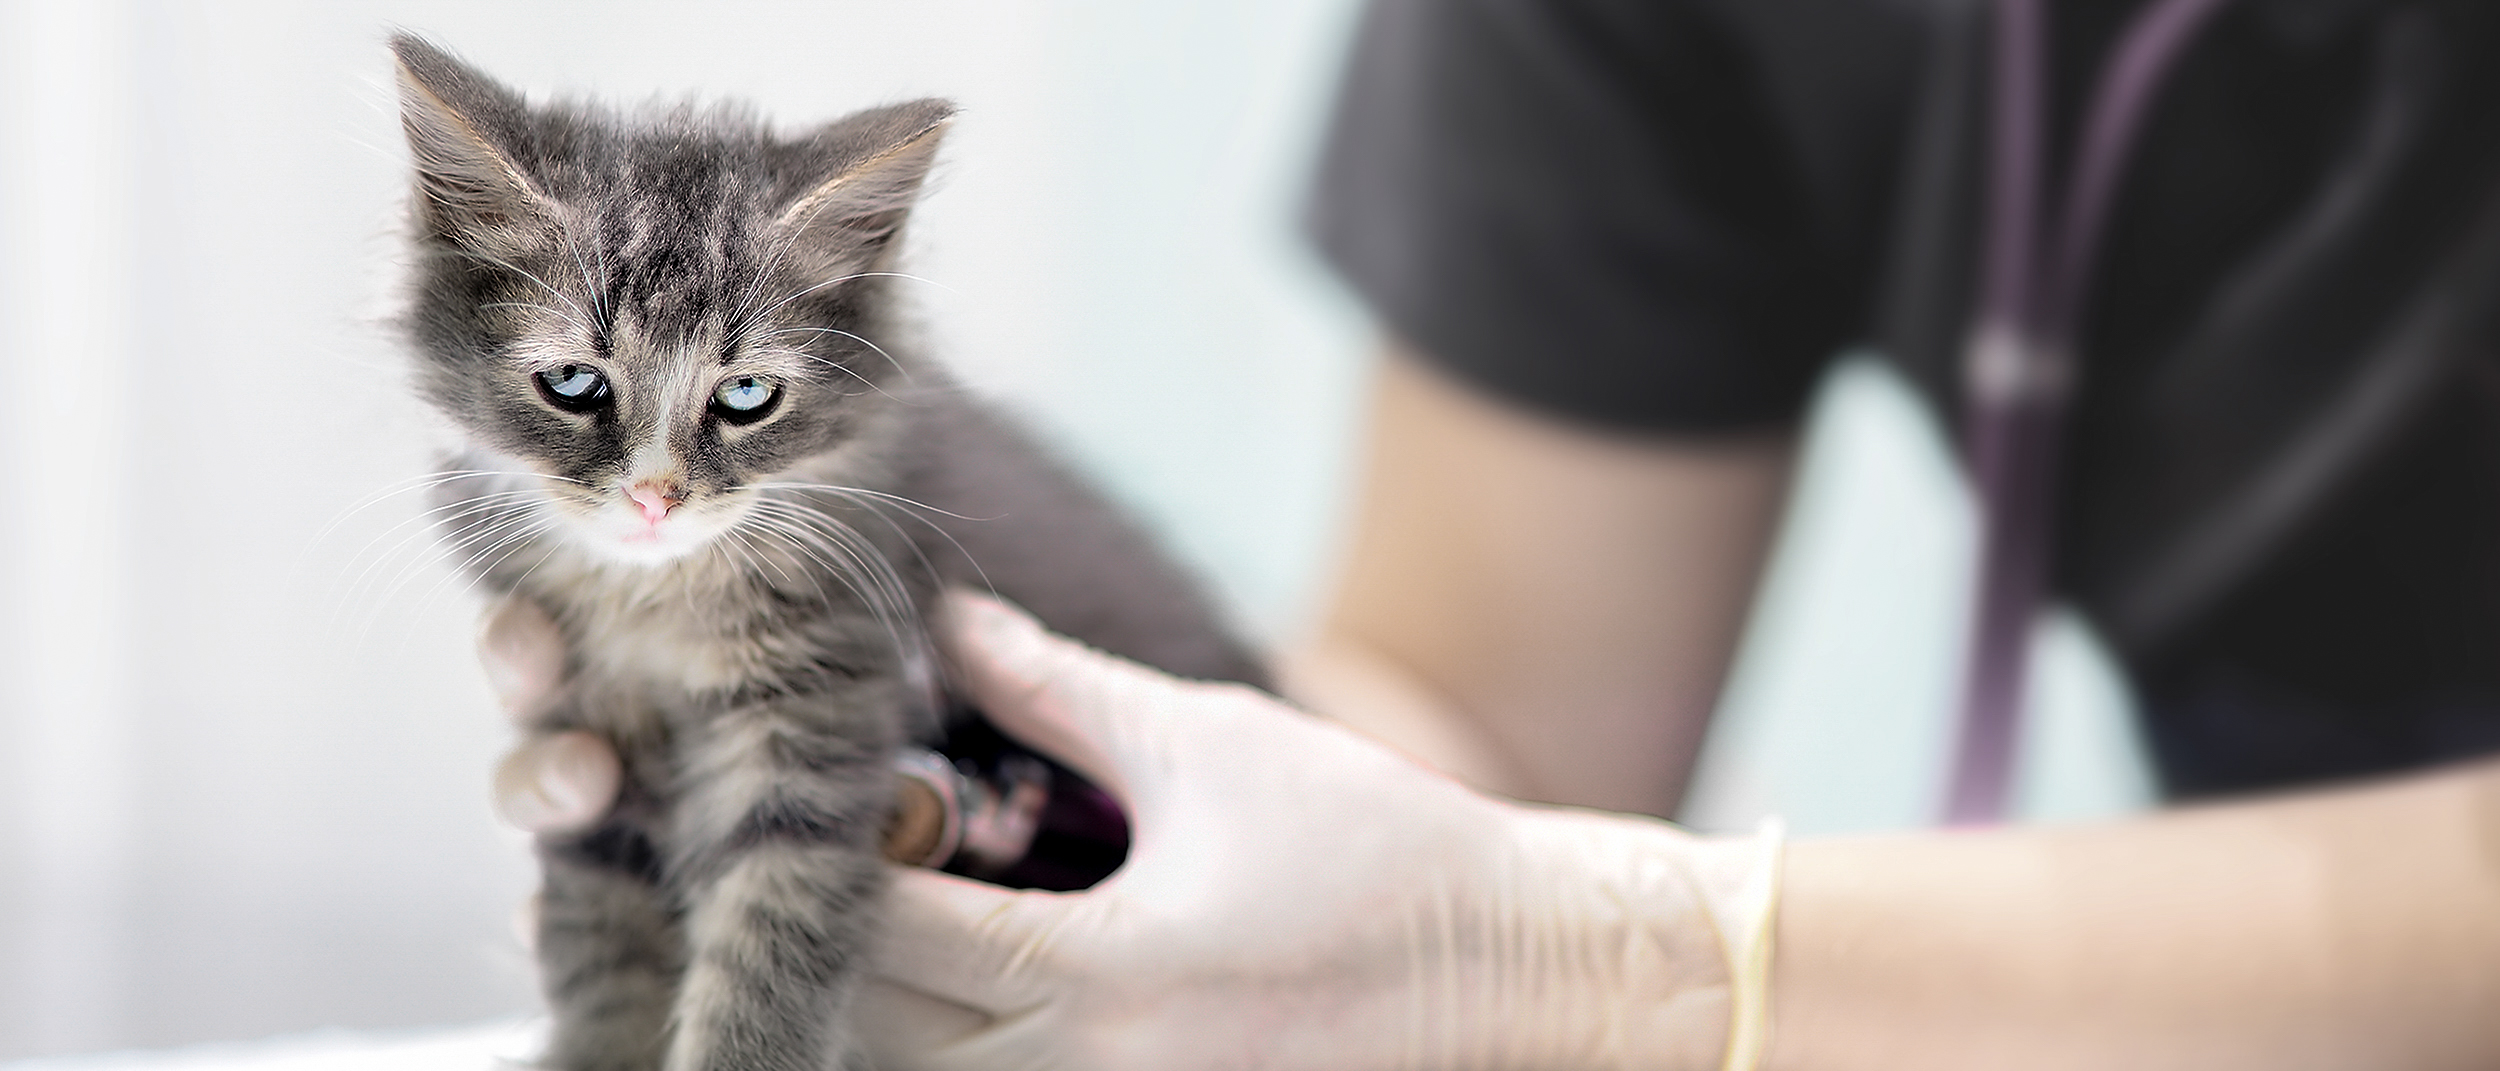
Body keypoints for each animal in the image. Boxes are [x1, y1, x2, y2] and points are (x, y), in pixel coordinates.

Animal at [392, 33, 1270, 1071]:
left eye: (745, 396)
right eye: (573, 381)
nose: (655, 496)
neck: (657, 603)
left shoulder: (821, 712)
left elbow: (769, 943)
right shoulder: (588, 740)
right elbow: (600, 948)